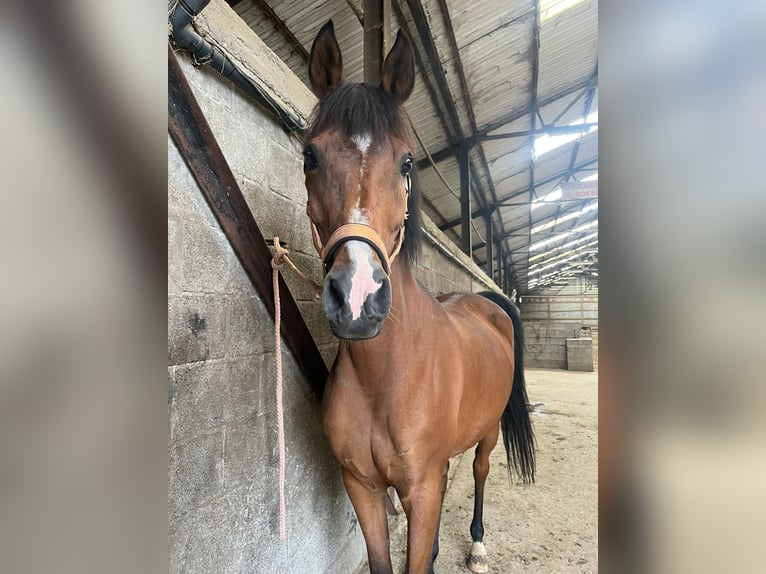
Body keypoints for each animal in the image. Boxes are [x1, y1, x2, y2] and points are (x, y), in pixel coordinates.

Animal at [304, 20, 536, 572]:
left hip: (487, 433)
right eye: (310, 155)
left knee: (478, 472)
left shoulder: (423, 490)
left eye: (407, 162)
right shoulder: (362, 488)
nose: (357, 297)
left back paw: (476, 544)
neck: (385, 375)